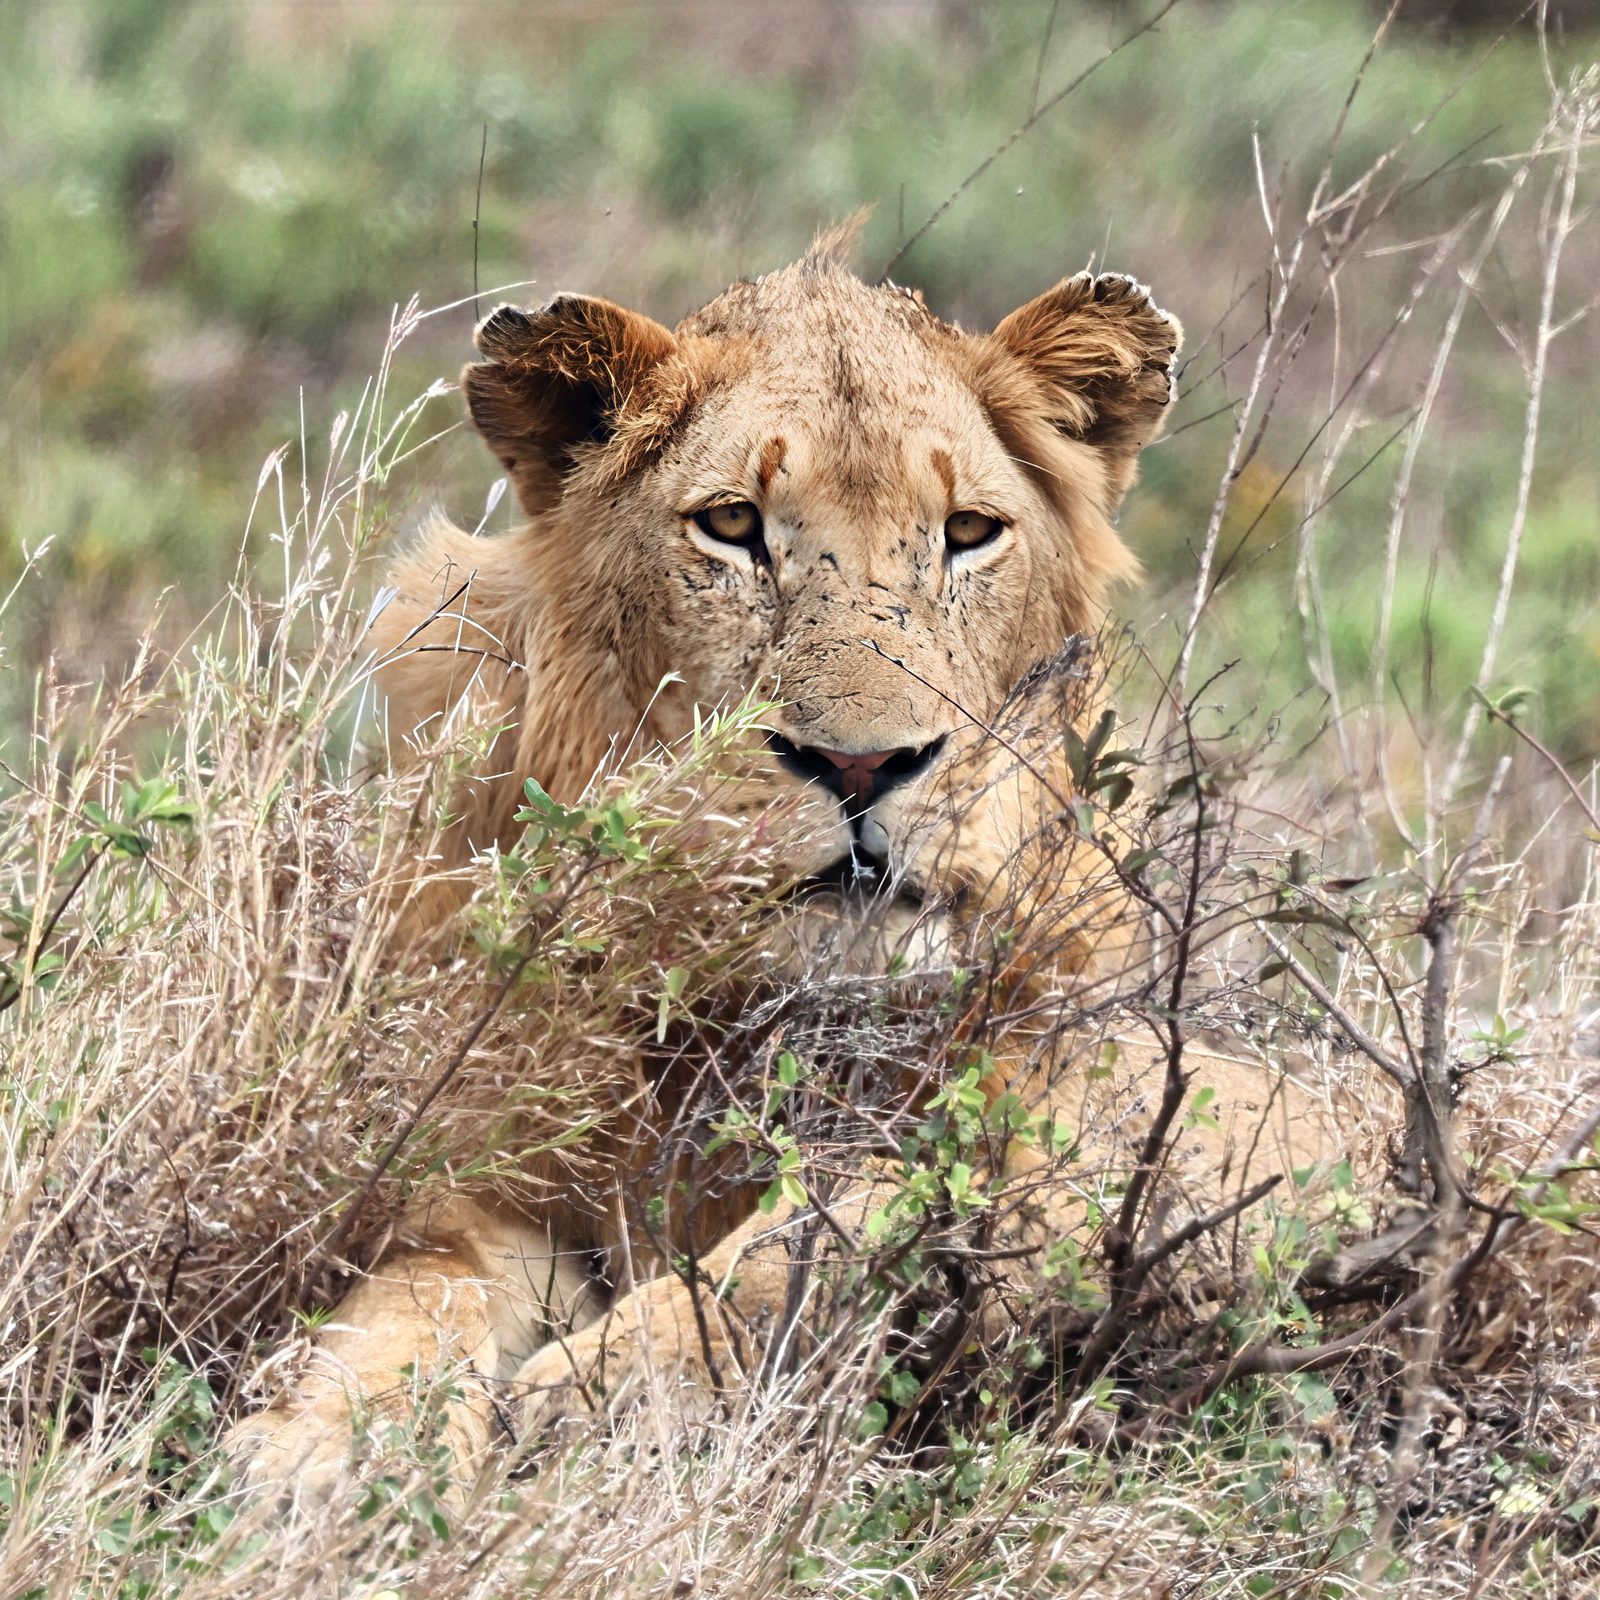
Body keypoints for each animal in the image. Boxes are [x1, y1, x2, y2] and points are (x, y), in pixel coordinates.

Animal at [228, 230, 1341, 1496]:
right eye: (729, 526)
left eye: (968, 532)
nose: (861, 766)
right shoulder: (499, 1184)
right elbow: (414, 1292)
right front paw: (327, 1444)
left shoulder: (1189, 1113)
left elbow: (876, 1199)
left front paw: (603, 1390)